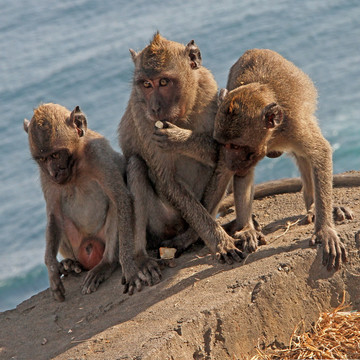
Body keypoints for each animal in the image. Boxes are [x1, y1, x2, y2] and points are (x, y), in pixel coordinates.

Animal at [119, 33, 243, 284]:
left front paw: (179, 138)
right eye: (146, 85)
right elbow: (167, 181)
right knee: (136, 165)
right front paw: (220, 242)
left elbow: (223, 150)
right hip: (162, 222)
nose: (155, 108)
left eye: (164, 82)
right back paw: (143, 257)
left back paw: (191, 236)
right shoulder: (142, 116)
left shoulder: (208, 89)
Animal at [212, 48, 352, 270]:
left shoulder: (294, 126)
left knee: (306, 156)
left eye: (236, 146)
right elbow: (244, 176)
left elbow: (320, 153)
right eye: (224, 144)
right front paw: (247, 229)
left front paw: (324, 230)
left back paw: (316, 206)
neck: (272, 136)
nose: (231, 163)